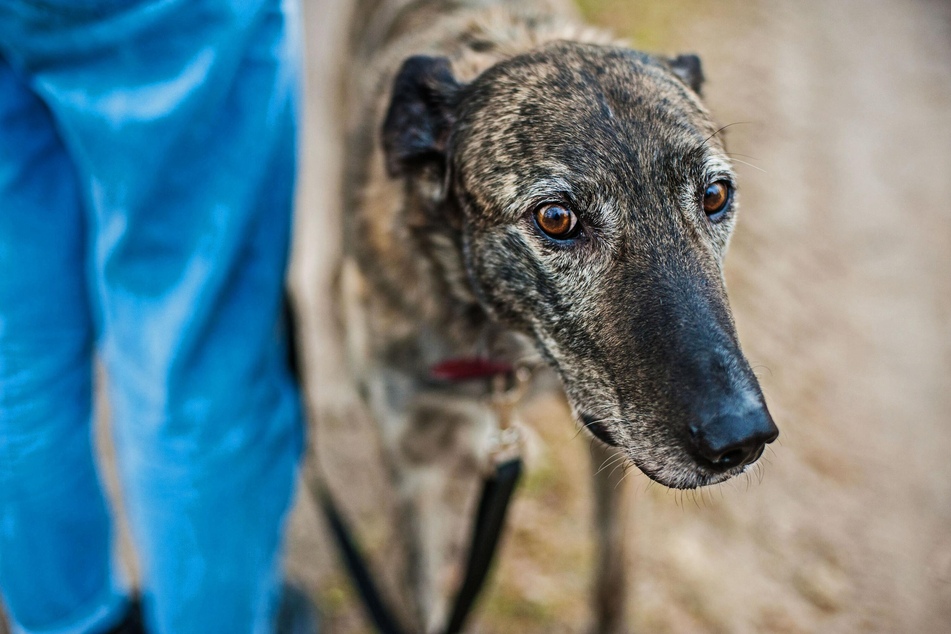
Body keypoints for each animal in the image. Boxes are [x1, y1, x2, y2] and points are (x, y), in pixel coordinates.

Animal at [330, 1, 776, 628]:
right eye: (557, 218)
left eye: (715, 195)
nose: (740, 439)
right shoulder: (415, 470)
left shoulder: (613, 447)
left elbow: (612, 576)